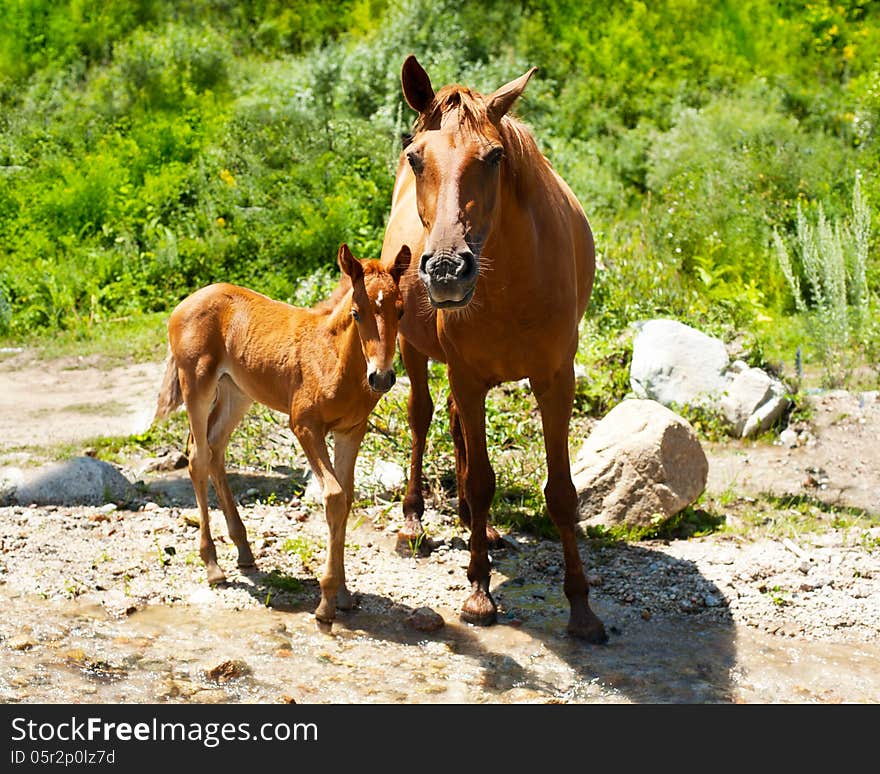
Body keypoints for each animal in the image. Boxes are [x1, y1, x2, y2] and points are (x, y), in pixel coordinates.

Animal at [154, 246, 410, 628]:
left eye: (400, 311)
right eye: (356, 312)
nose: (381, 377)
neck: (335, 359)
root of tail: (185, 302)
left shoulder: (352, 430)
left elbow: (346, 498)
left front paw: (344, 594)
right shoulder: (304, 425)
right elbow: (334, 496)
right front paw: (326, 603)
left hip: (237, 392)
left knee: (215, 448)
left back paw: (244, 551)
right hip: (196, 384)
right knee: (198, 457)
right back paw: (213, 565)